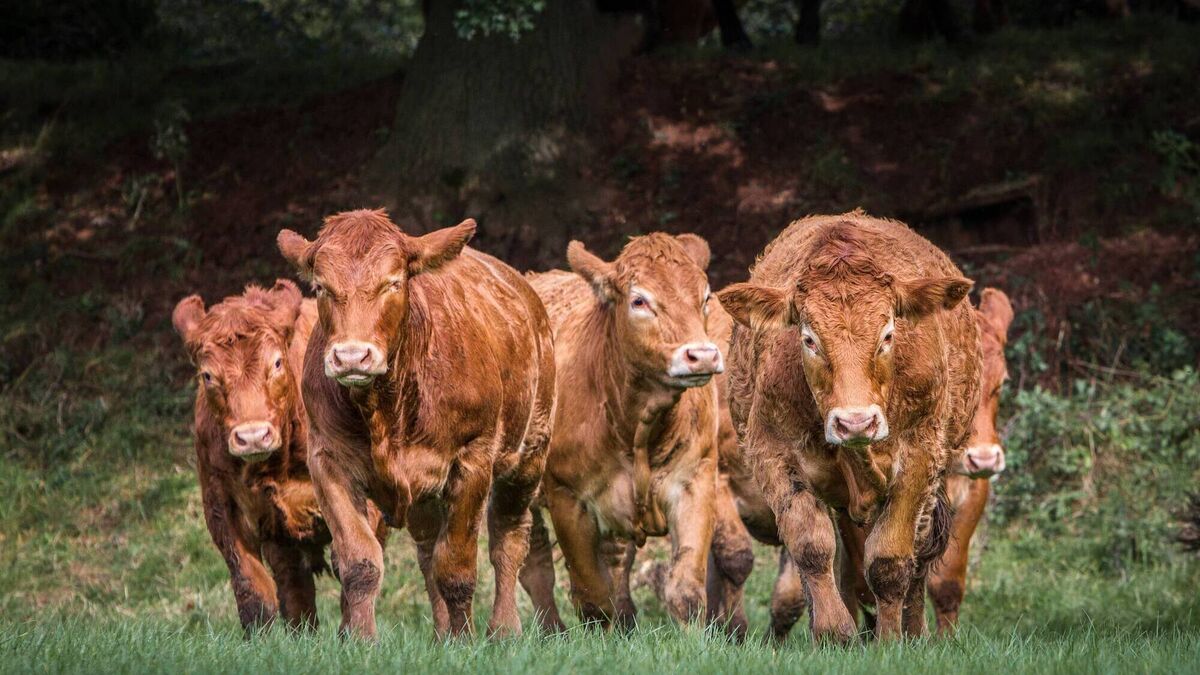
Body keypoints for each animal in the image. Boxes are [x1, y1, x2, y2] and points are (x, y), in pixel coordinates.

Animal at [276, 209, 555, 640]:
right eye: (321, 287)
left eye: (393, 282)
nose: (352, 357)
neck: (386, 410)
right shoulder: (327, 461)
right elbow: (359, 563)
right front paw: (361, 640)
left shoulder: (472, 460)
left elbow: (457, 567)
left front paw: (464, 640)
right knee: (427, 550)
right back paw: (441, 633)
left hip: (529, 454)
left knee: (508, 538)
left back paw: (503, 628)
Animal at [518, 233, 724, 631]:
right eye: (639, 300)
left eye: (705, 296)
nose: (703, 355)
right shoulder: (568, 498)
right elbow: (592, 597)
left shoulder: (696, 480)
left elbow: (686, 591)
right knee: (533, 564)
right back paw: (551, 630)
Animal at [715, 211, 980, 641]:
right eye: (809, 339)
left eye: (887, 334)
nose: (855, 422)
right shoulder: (772, 452)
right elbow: (811, 546)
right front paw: (833, 633)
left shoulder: (921, 456)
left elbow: (890, 560)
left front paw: (891, 640)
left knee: (920, 551)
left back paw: (914, 629)